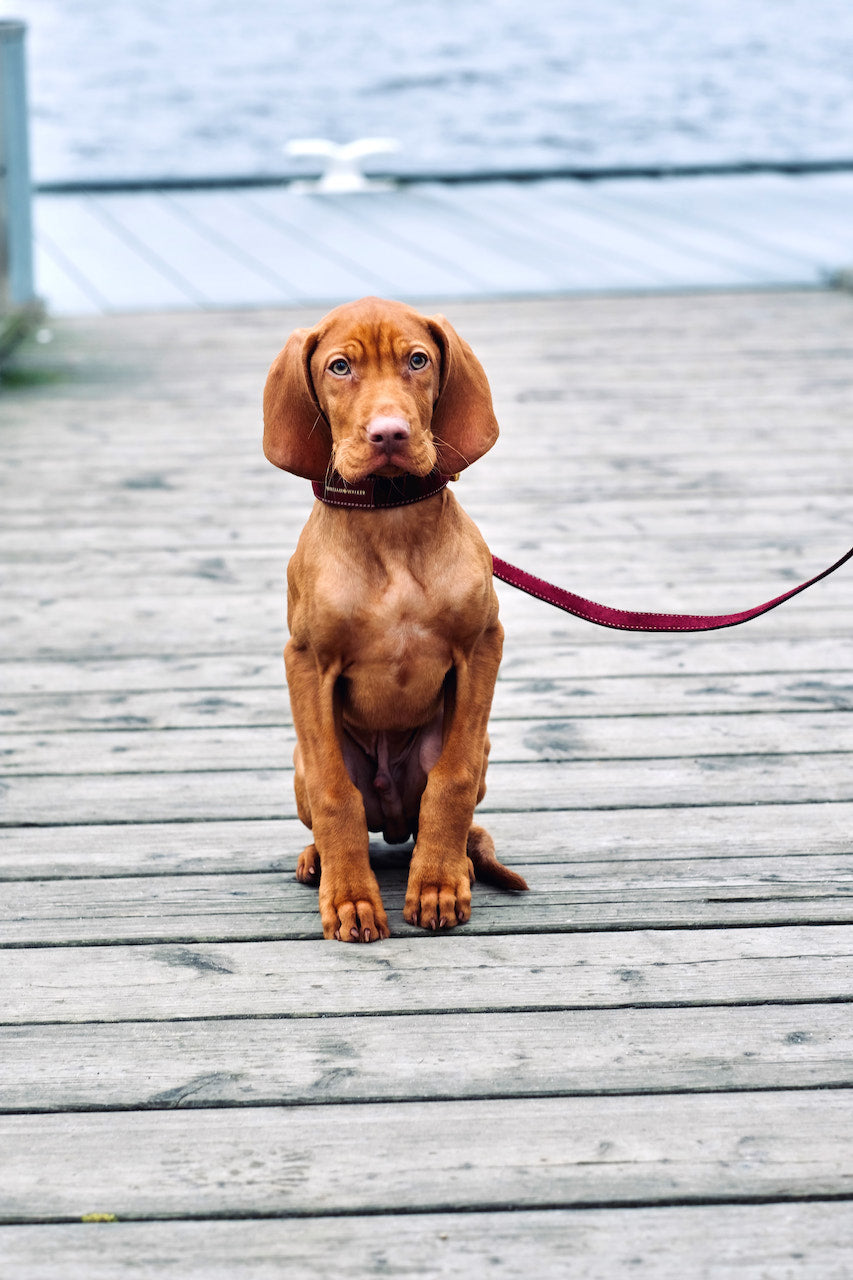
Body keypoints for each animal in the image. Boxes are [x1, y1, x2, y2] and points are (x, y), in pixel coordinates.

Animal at [262, 296, 525, 942]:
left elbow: (452, 782)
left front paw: (436, 886)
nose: (389, 433)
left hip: (472, 749)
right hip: (301, 763)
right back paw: (317, 861)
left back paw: (455, 862)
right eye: (339, 367)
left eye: (418, 360)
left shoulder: (482, 645)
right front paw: (351, 900)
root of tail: (392, 818)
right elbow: (335, 794)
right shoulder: (305, 661)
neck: (390, 518)